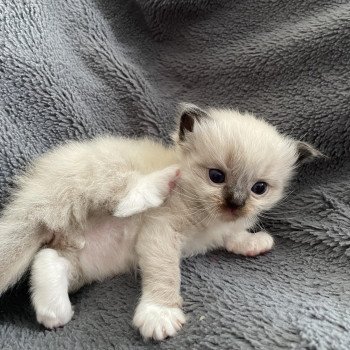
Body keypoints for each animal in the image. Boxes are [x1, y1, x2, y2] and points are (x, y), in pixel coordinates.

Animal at [0, 103, 322, 340]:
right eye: (216, 176)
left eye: (259, 188)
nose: (235, 202)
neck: (210, 218)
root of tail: (38, 188)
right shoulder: (162, 231)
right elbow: (165, 275)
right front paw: (160, 314)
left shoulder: (222, 230)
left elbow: (234, 235)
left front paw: (254, 242)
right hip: (103, 175)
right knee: (124, 198)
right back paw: (163, 180)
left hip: (85, 264)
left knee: (47, 258)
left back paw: (55, 314)